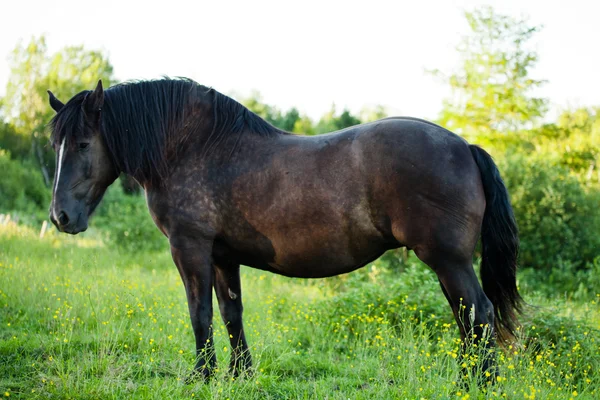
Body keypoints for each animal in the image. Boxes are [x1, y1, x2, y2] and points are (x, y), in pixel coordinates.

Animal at [48, 76, 520, 380]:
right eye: (57, 144)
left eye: (84, 143)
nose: (60, 217)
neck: (192, 148)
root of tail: (465, 146)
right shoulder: (222, 256)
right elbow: (230, 313)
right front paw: (240, 375)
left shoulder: (190, 247)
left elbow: (200, 313)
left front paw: (201, 376)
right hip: (447, 263)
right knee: (465, 316)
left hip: (447, 260)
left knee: (479, 313)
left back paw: (476, 383)